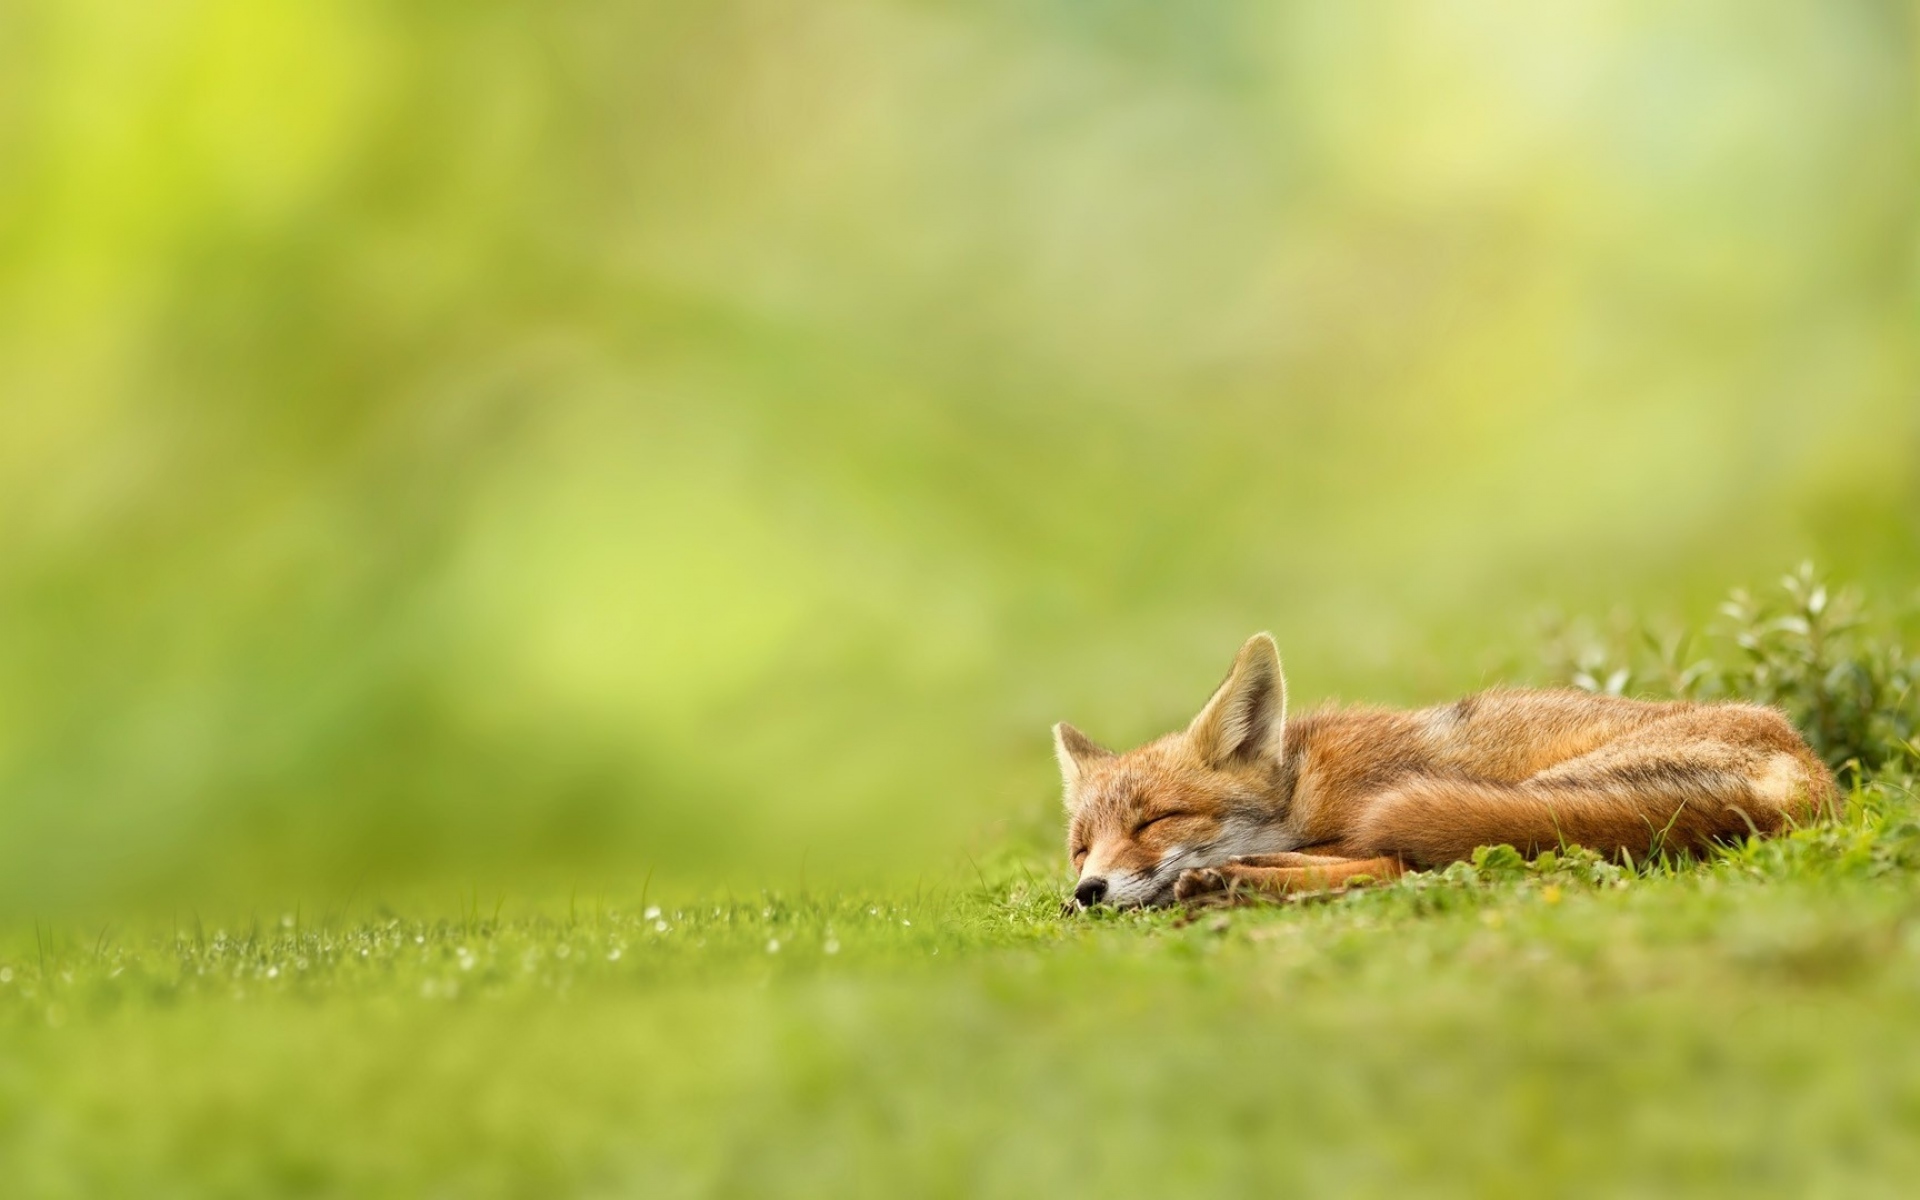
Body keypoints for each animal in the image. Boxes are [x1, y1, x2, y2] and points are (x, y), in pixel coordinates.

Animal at [1057, 633, 1838, 908]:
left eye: (1156, 820)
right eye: (1079, 848)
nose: (1088, 890)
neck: (1304, 785)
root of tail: (1810, 776)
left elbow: (1377, 860)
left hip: (1533, 796)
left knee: (1407, 866)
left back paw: (1229, 881)